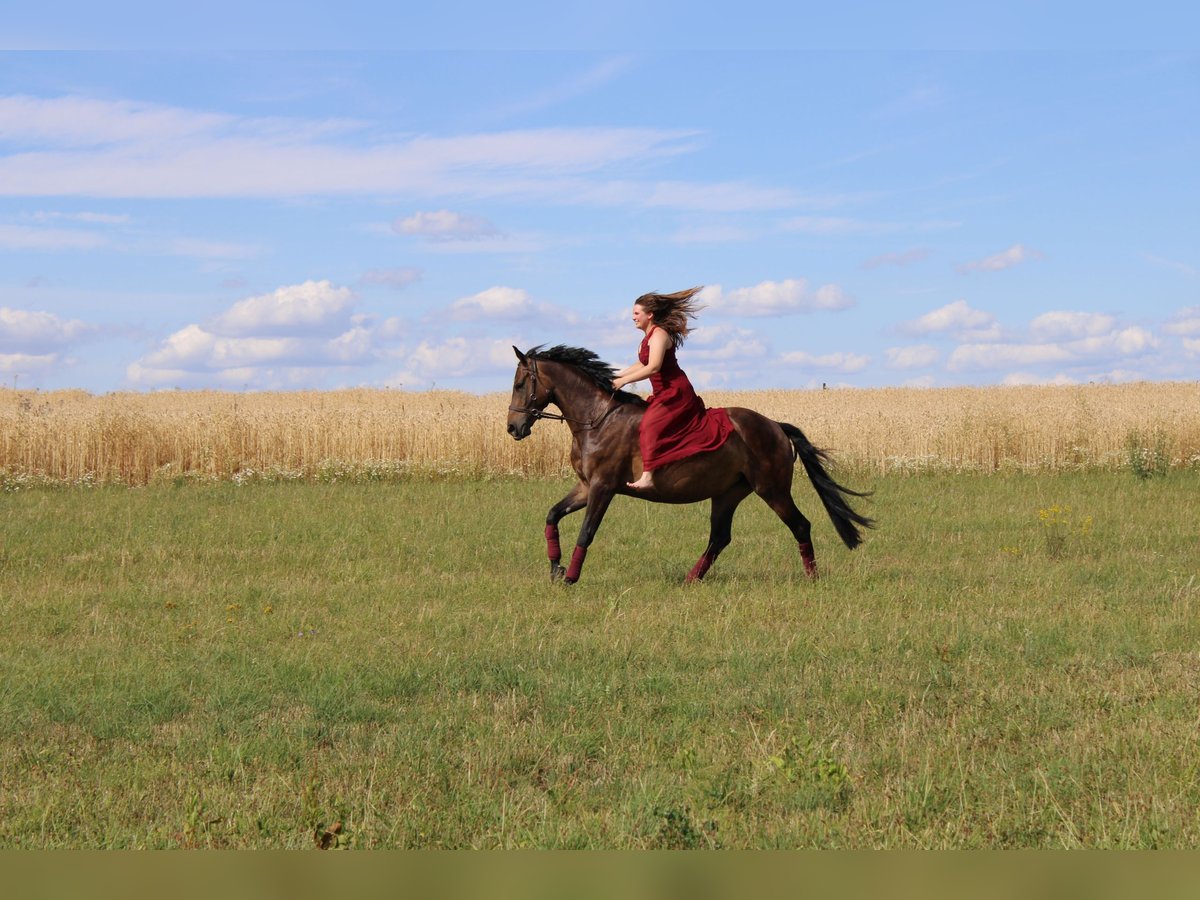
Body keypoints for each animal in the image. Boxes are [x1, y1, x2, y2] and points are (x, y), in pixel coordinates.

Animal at [506, 343, 873, 585]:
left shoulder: (603, 487)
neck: (596, 419)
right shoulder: (585, 486)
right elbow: (552, 515)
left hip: (772, 490)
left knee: (800, 525)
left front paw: (569, 578)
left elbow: (586, 532)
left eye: (520, 384)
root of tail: (776, 427)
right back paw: (690, 579)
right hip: (728, 493)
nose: (513, 428)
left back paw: (812, 578)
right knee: (720, 537)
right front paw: (555, 569)